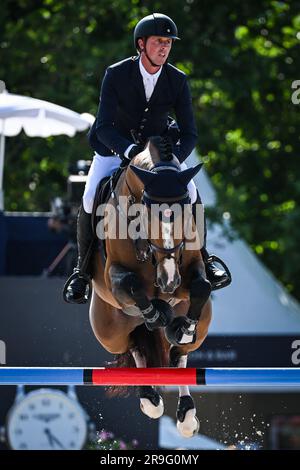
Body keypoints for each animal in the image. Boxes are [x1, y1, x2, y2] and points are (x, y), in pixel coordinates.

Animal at [89, 136, 211, 436]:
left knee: (179, 355)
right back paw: (149, 399)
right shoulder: (114, 280)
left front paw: (181, 327)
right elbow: (132, 285)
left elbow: (202, 286)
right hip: (110, 333)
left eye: (186, 210)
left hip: (204, 321)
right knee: (134, 346)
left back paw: (186, 415)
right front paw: (157, 315)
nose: (168, 281)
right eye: (146, 211)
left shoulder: (190, 272)